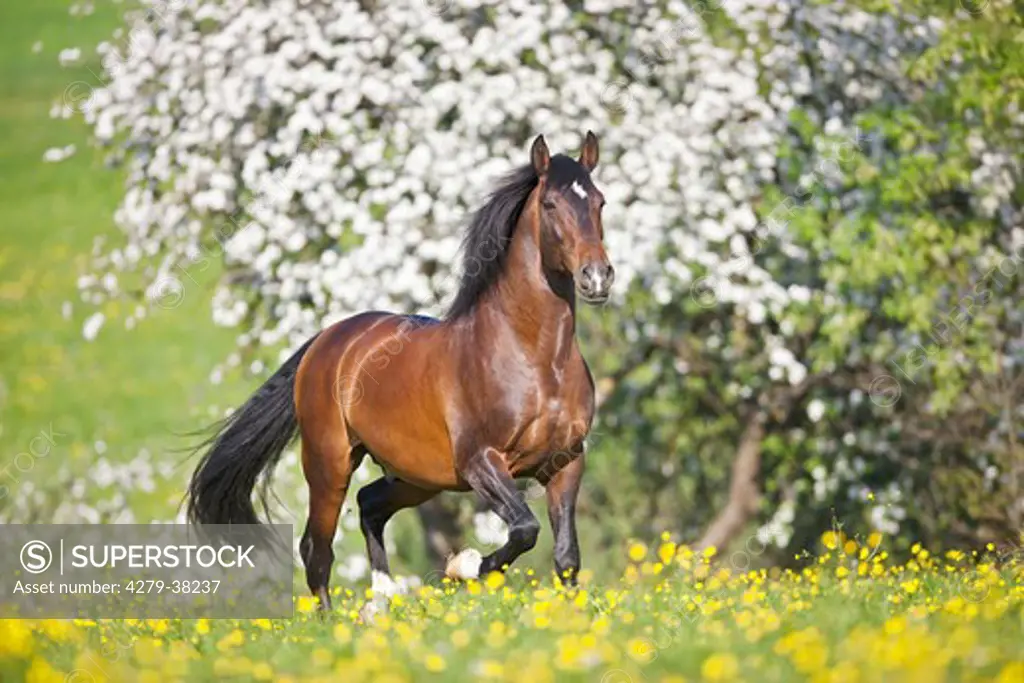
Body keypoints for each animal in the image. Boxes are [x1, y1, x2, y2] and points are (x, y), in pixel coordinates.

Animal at [187, 131, 610, 606]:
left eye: (600, 202)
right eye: (551, 204)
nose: (597, 277)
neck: (535, 361)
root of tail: (330, 339)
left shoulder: (566, 462)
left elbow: (566, 557)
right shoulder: (481, 461)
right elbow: (524, 529)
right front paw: (463, 567)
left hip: (417, 475)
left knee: (369, 504)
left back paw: (384, 595)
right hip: (330, 464)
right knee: (317, 550)